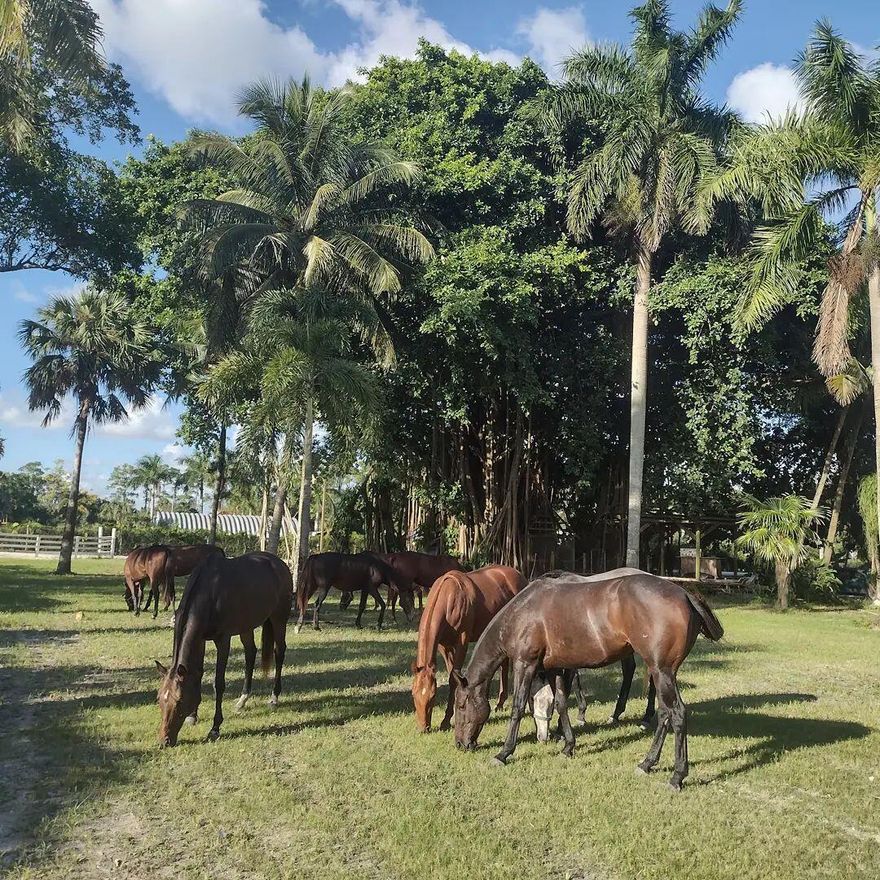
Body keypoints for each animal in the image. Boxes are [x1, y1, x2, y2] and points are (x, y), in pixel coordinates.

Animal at [154, 552, 292, 746]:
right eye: (159, 698)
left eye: (179, 701)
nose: (164, 741)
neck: (209, 592)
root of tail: (280, 563)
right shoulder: (200, 639)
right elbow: (197, 674)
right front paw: (192, 716)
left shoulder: (223, 640)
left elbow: (218, 683)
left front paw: (215, 727)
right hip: (246, 626)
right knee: (250, 653)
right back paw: (243, 699)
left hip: (279, 619)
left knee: (279, 652)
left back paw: (274, 698)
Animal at [411, 565, 525, 733]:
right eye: (413, 693)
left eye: (433, 696)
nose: (424, 728)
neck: (448, 598)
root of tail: (519, 576)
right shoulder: (444, 647)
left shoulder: (462, 643)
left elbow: (454, 679)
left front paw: (446, 720)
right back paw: (499, 703)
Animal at [451, 570, 724, 790]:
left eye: (461, 706)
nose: (460, 744)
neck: (522, 613)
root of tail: (684, 594)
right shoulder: (556, 668)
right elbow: (561, 704)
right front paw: (568, 746)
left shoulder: (524, 664)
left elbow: (517, 708)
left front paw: (504, 753)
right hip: (662, 673)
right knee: (665, 714)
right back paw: (646, 763)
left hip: (662, 671)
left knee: (676, 714)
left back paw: (677, 776)